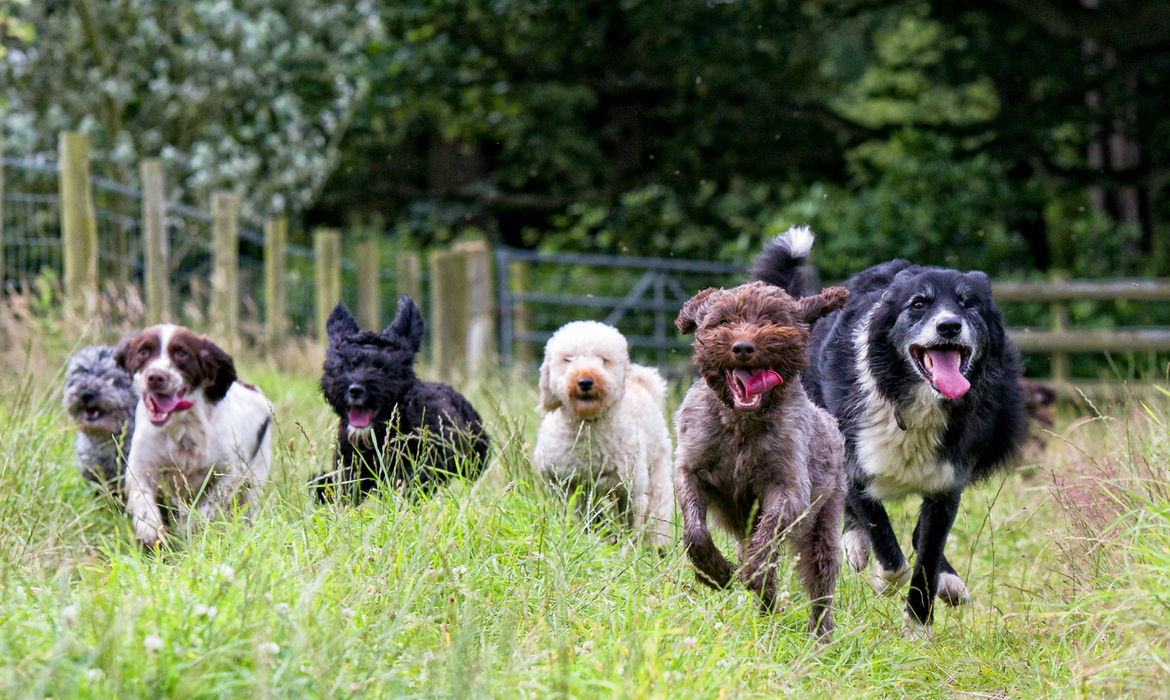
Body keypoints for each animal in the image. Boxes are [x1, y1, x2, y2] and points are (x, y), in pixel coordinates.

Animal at [535, 323, 673, 547]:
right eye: (568, 359)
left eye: (603, 359)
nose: (585, 381)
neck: (588, 424)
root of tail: (645, 387)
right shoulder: (565, 485)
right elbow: (578, 517)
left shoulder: (631, 490)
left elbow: (631, 523)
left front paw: (628, 548)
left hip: (657, 471)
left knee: (658, 512)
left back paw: (657, 546)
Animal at [753, 229, 1029, 641]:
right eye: (918, 304)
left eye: (968, 305)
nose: (949, 326)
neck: (912, 401)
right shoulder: (850, 463)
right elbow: (884, 540)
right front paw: (884, 578)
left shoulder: (947, 482)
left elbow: (927, 554)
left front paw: (918, 624)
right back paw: (854, 545)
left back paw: (949, 582)